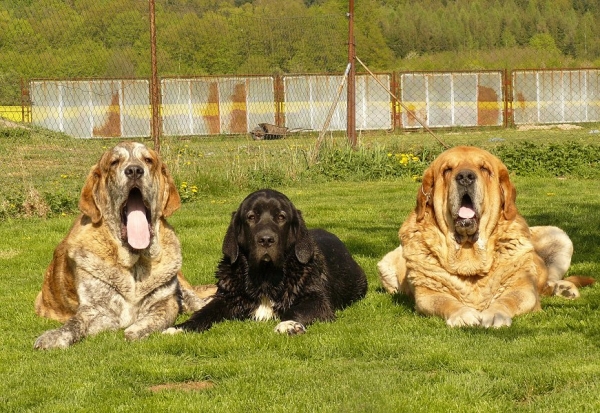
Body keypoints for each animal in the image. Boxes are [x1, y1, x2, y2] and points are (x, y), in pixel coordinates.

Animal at [35, 142, 213, 348]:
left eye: (148, 160)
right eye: (114, 162)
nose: (134, 170)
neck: (134, 263)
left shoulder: (166, 301)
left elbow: (157, 316)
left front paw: (137, 329)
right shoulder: (95, 309)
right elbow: (76, 321)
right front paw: (55, 335)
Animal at [166, 188, 368, 334]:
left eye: (281, 217)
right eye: (251, 217)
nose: (266, 239)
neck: (265, 275)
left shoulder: (318, 301)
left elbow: (297, 311)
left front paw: (289, 324)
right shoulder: (226, 298)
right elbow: (205, 312)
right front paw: (180, 327)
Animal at [378, 146, 592, 326]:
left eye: (484, 168)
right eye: (447, 170)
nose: (465, 176)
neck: (468, 251)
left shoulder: (522, 288)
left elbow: (509, 300)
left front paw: (495, 314)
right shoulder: (428, 294)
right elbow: (446, 302)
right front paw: (462, 314)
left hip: (559, 237)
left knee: (549, 281)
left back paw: (564, 289)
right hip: (386, 264)